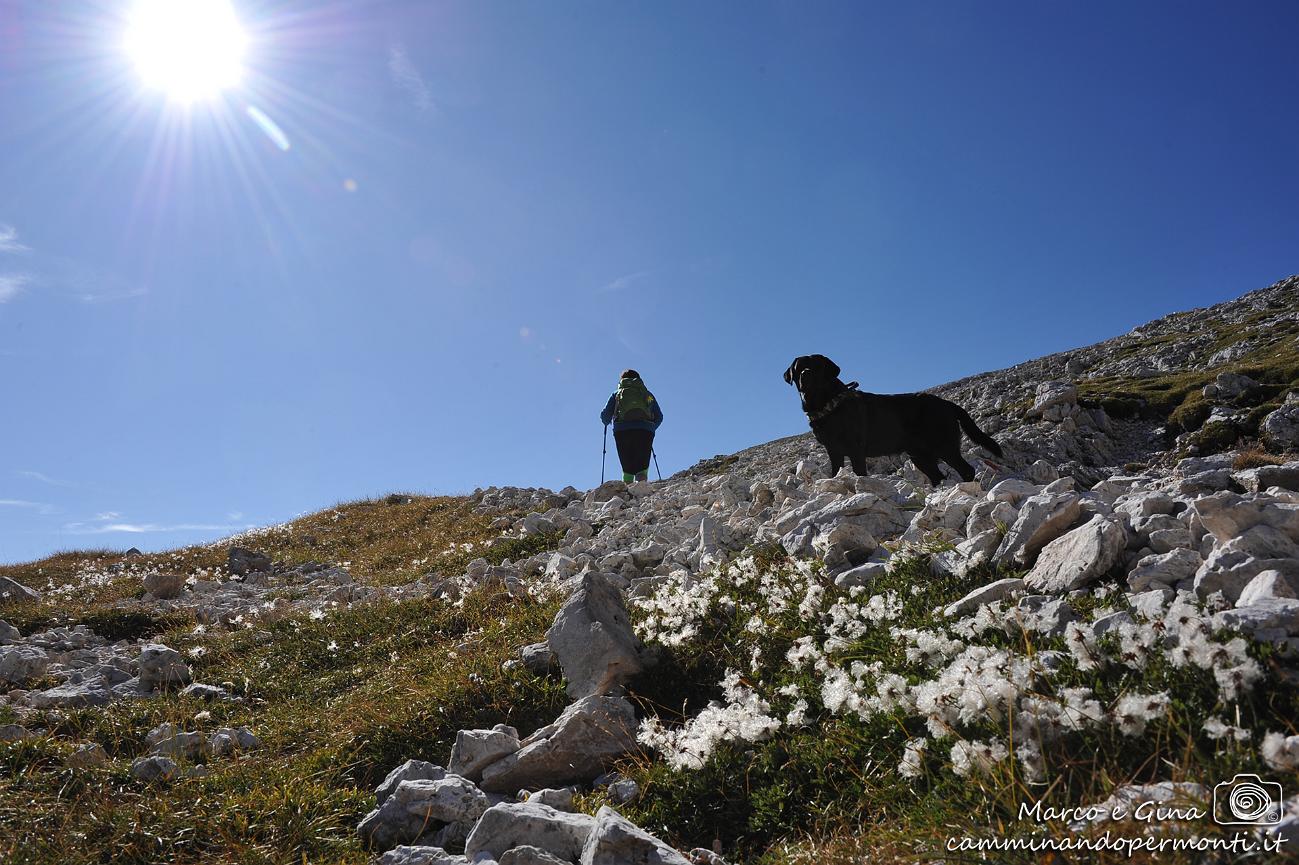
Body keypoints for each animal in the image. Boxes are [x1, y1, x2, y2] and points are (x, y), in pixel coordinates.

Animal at [779, 353, 1002, 485]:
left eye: (817, 366)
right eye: (799, 367)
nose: (806, 374)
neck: (827, 403)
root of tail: (947, 403)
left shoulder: (855, 448)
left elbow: (859, 472)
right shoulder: (833, 450)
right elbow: (835, 471)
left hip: (944, 446)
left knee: (966, 469)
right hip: (919, 455)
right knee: (937, 475)